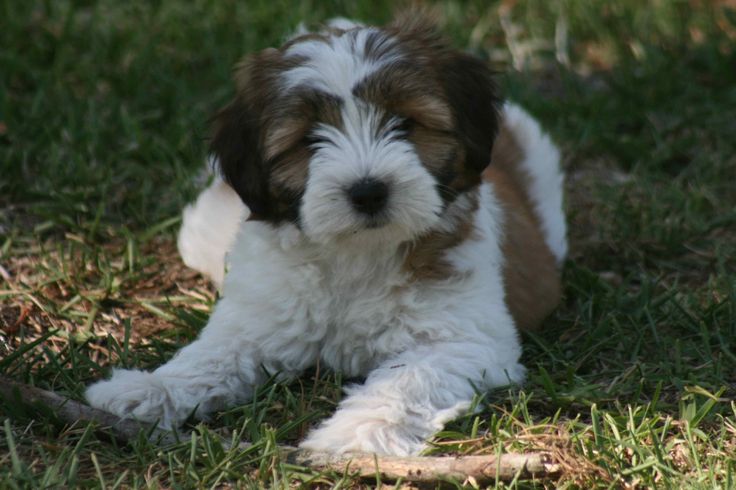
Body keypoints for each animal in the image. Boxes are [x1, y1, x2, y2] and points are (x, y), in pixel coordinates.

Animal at [87, 16, 568, 460]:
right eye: (309, 139)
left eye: (405, 122)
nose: (369, 191)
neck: (356, 252)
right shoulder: (260, 318)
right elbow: (213, 355)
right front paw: (148, 390)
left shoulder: (464, 339)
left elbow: (407, 380)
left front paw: (357, 436)